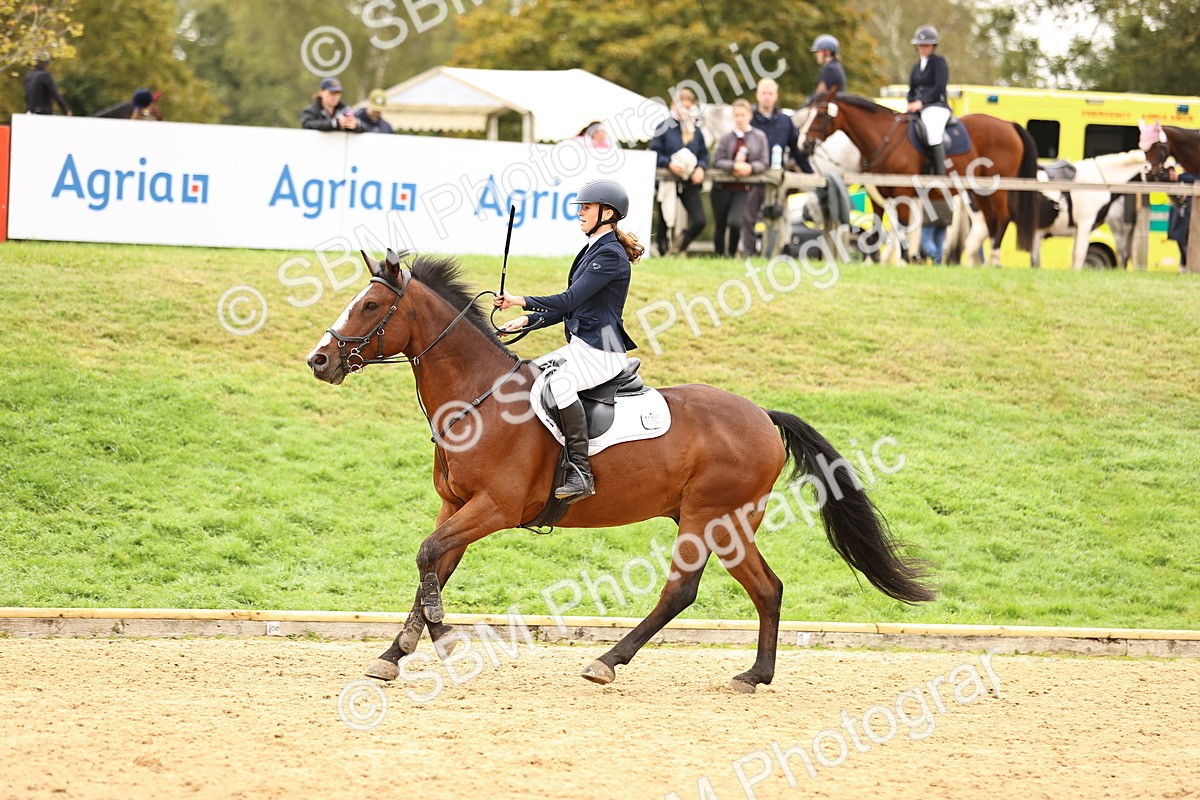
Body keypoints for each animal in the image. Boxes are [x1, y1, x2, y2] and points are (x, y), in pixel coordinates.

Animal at [305, 250, 935, 693]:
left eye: (368, 306)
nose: (320, 359)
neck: (478, 399)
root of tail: (761, 414)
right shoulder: (456, 506)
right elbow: (432, 564)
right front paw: (393, 655)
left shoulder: (495, 509)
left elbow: (428, 557)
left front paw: (444, 638)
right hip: (728, 524)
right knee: (768, 588)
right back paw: (753, 675)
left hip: (708, 517)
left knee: (681, 590)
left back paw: (607, 662)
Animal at [795, 89, 1040, 266]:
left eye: (820, 114)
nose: (803, 145)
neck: (881, 140)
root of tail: (1008, 125)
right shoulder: (878, 196)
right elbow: (877, 228)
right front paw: (870, 262)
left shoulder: (902, 192)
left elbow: (903, 226)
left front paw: (904, 260)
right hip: (980, 192)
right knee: (991, 220)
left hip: (996, 189)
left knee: (1003, 217)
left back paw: (995, 259)